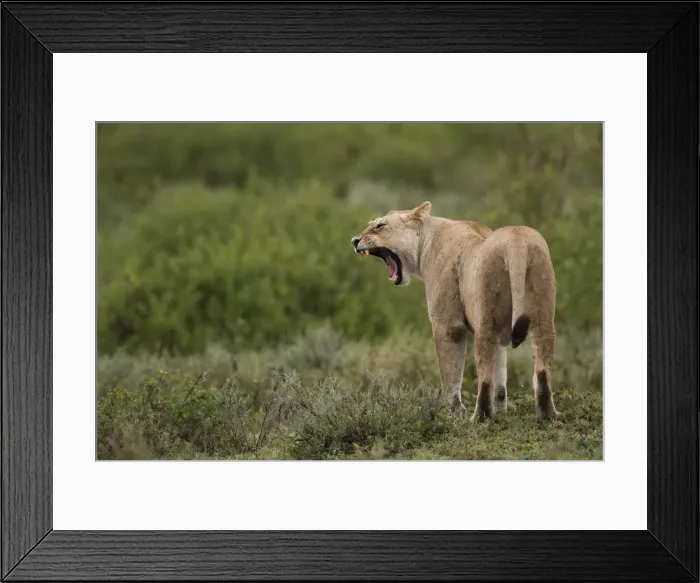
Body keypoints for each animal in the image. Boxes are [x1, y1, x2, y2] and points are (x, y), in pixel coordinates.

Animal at [351, 201, 559, 423]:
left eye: (379, 226)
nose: (355, 240)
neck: (425, 241)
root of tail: (516, 240)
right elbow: (500, 376)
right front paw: (500, 415)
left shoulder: (447, 326)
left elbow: (450, 373)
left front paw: (452, 413)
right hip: (542, 316)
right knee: (542, 369)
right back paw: (547, 415)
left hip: (486, 320)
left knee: (484, 376)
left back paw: (479, 418)